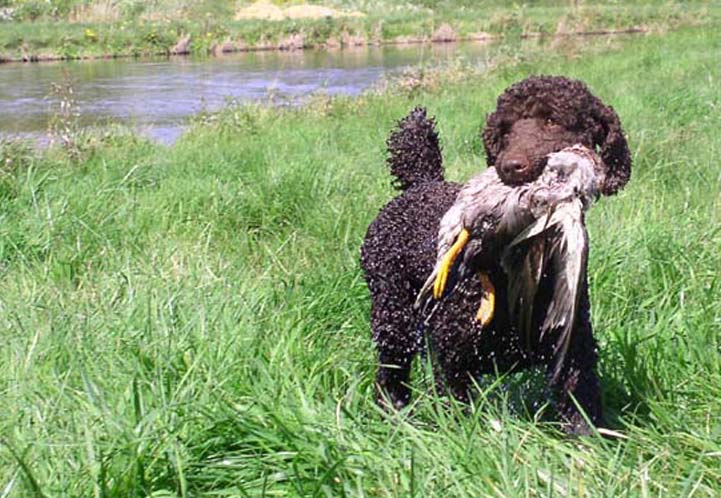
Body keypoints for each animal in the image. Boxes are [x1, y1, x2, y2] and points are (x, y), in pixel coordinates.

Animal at [360, 76, 632, 434]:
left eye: (552, 119)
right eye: (503, 131)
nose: (510, 167)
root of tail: (421, 182)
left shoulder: (574, 353)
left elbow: (581, 413)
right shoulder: (454, 362)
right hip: (392, 316)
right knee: (390, 376)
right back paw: (393, 415)